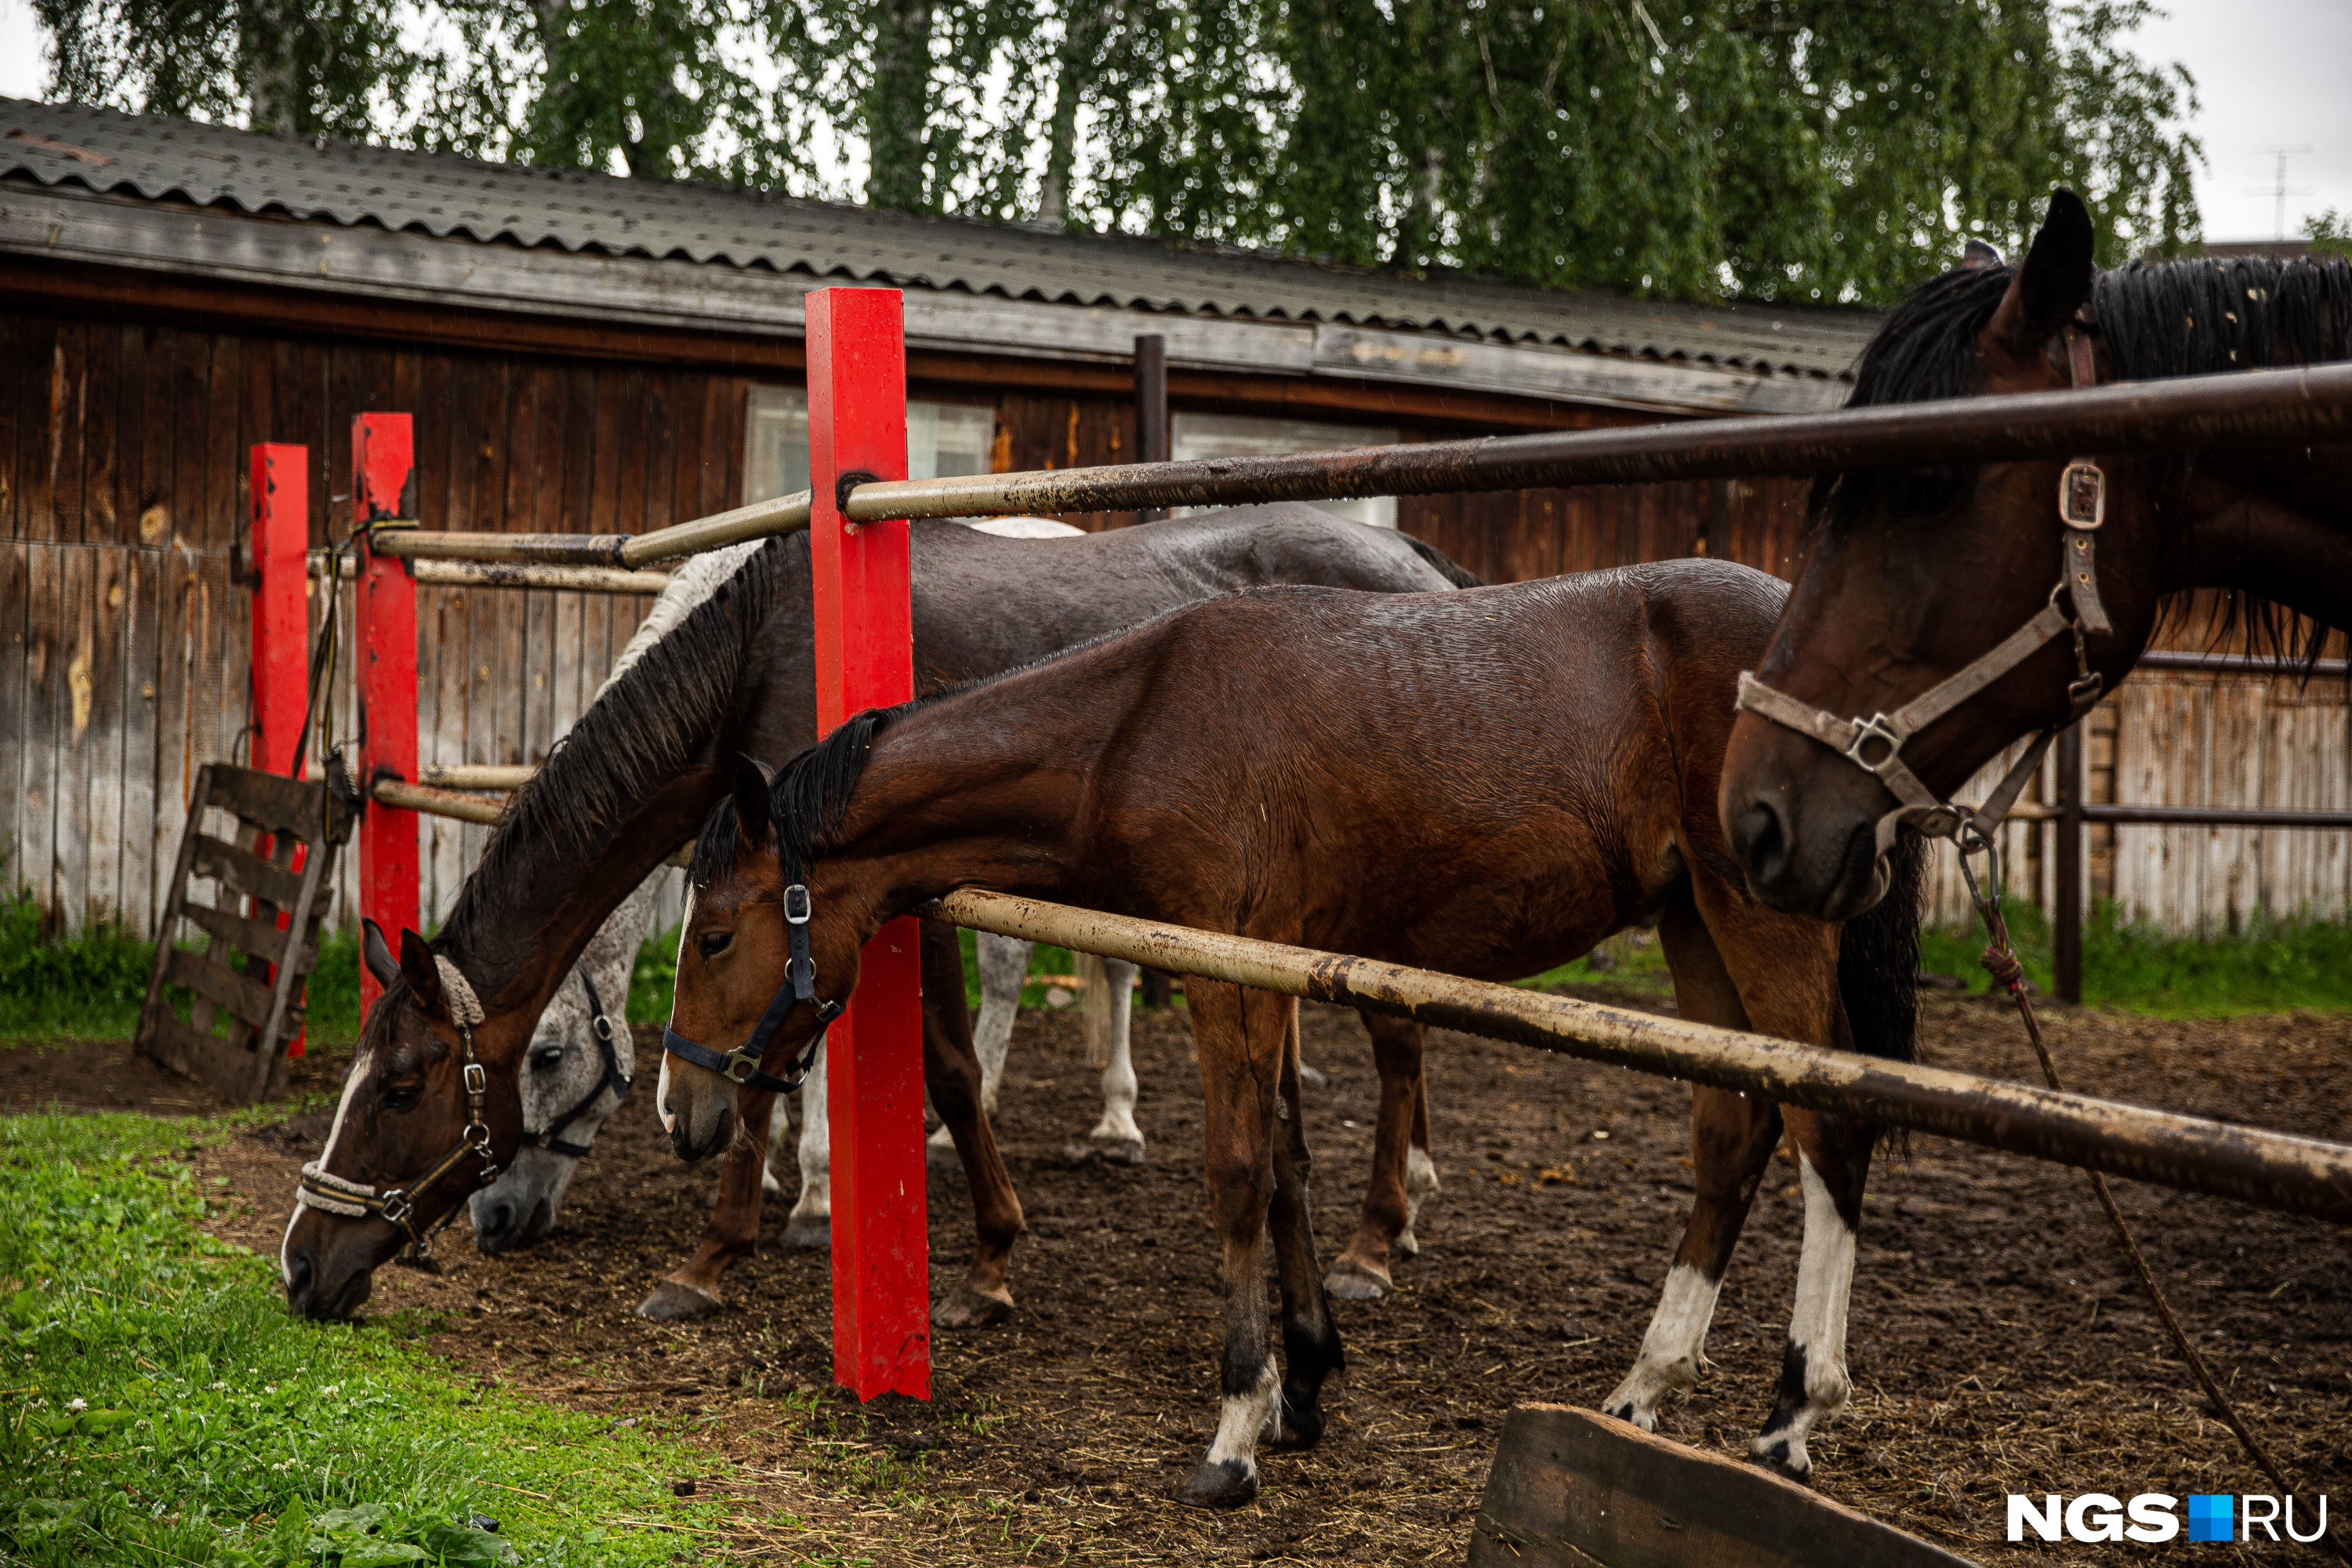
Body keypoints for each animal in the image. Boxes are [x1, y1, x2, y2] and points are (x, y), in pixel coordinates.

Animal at [285, 510, 1477, 1335]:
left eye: (405, 1088)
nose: (302, 1265)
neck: (759, 651)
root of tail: (1419, 562)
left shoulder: (883, 886)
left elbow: (926, 1064)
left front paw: (959, 1253)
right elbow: (772, 1064)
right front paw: (738, 1239)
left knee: (1398, 1031)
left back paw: (1376, 1236)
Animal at [654, 561, 1919, 1504]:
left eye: (713, 935)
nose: (683, 1105)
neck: (1134, 724)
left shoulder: (1228, 974)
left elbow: (1238, 1173)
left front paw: (1234, 1428)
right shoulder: (1271, 968)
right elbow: (1291, 1166)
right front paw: (1304, 1383)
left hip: (1759, 923)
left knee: (1829, 1128)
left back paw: (1797, 1408)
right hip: (1695, 922)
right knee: (1734, 1131)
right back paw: (1646, 1387)